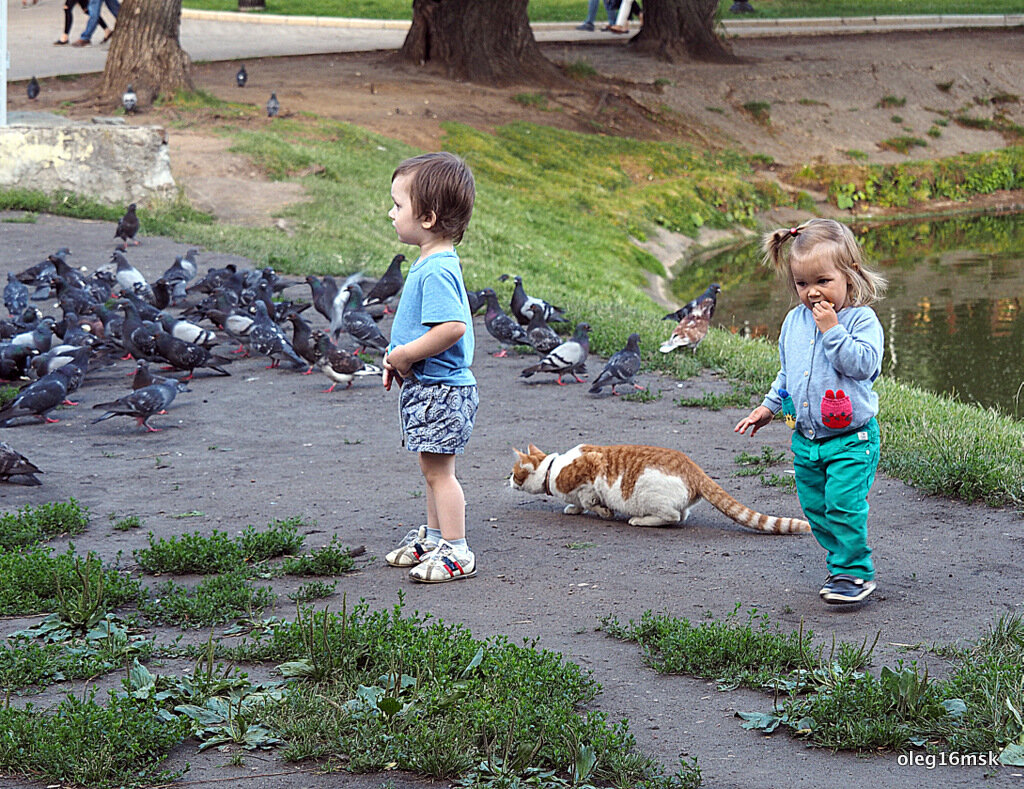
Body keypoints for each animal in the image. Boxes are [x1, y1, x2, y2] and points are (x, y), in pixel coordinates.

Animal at [507, 442, 811, 532]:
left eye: (513, 473)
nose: (506, 479)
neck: (552, 468)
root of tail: (693, 468)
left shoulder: (589, 473)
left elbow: (592, 501)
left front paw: (600, 512)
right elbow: (580, 503)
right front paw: (574, 508)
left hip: (648, 493)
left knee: (673, 517)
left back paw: (640, 521)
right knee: (683, 514)